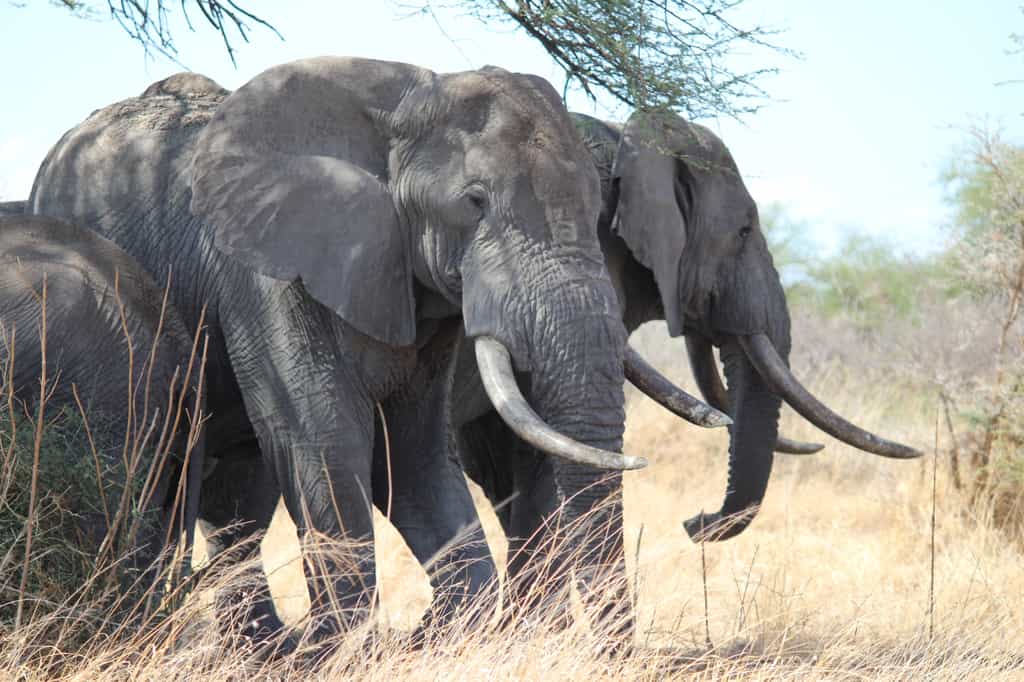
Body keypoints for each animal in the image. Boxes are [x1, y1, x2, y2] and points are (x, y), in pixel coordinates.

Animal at [28, 62, 709, 640]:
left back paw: (262, 649)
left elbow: (413, 454)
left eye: (600, 209)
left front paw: (435, 636)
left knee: (237, 498)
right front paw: (351, 651)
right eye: (473, 203)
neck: (398, 102)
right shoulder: (267, 267)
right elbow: (325, 440)